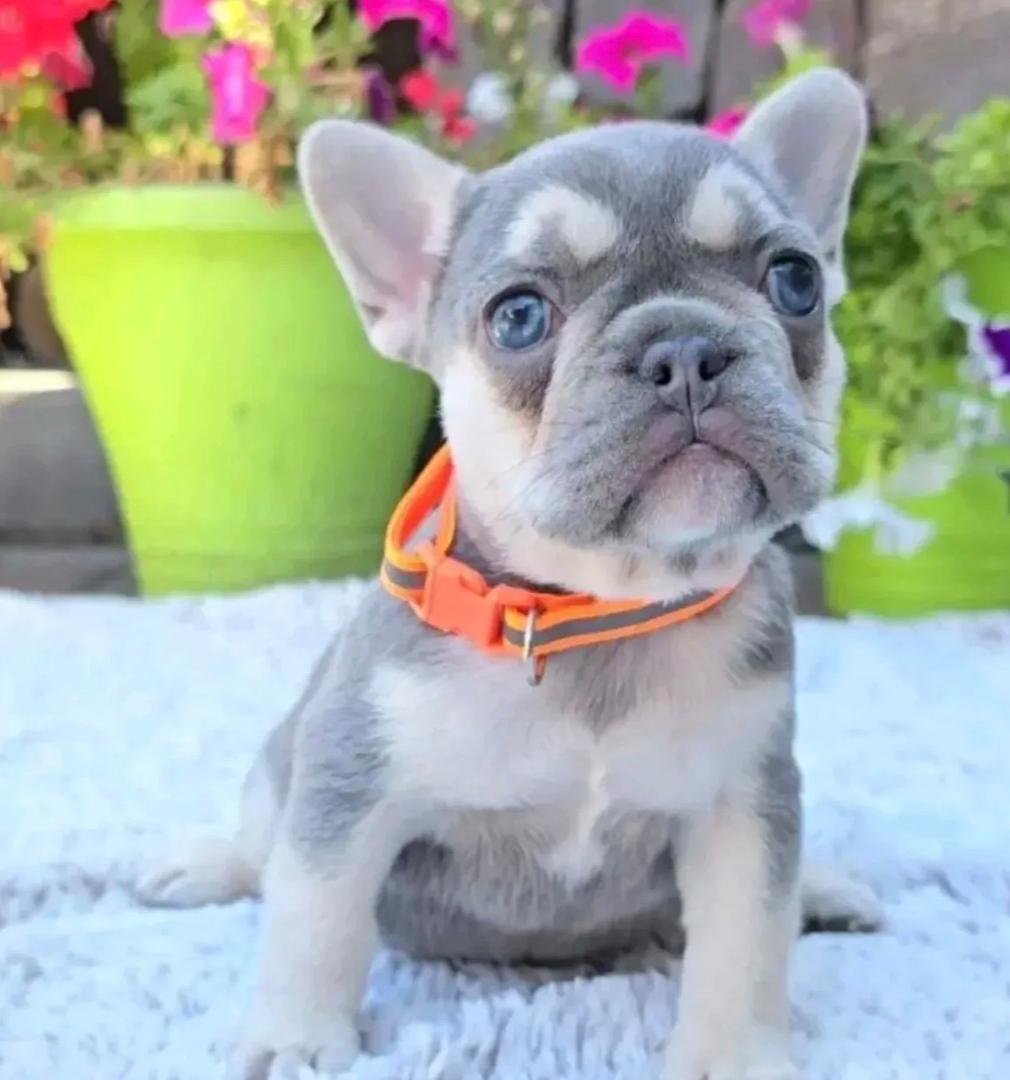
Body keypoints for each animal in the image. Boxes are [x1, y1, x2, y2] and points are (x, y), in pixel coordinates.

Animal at [138, 68, 881, 1079]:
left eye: (797, 280)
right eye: (519, 316)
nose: (684, 348)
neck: (598, 604)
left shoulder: (745, 802)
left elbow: (747, 940)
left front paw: (732, 1054)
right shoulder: (349, 783)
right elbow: (315, 917)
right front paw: (293, 1037)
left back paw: (825, 888)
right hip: (279, 761)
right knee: (265, 846)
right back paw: (209, 863)